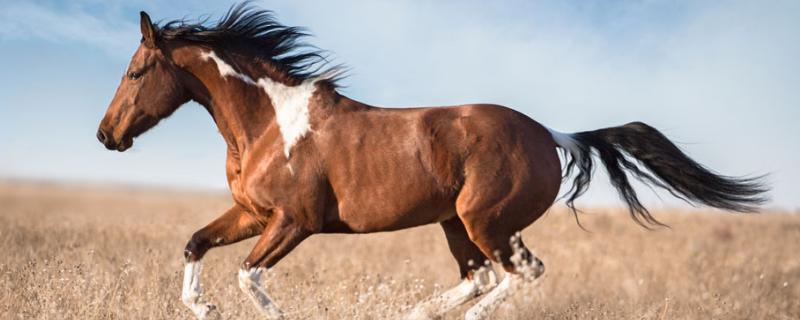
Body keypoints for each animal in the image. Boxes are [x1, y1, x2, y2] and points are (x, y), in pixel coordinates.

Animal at [97, 5, 764, 320]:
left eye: (136, 71)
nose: (106, 135)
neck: (269, 123)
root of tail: (552, 135)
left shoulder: (295, 222)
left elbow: (249, 276)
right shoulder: (251, 214)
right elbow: (195, 245)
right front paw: (202, 307)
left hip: (486, 221)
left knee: (519, 273)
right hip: (455, 223)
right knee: (480, 277)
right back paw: (412, 313)